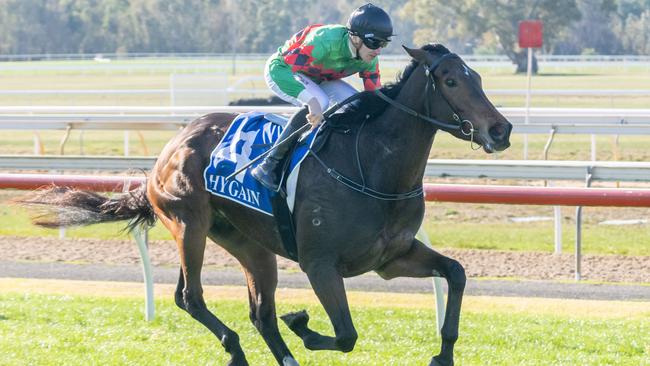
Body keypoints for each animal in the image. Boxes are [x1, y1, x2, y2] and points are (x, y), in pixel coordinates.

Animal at [22, 44, 512, 364]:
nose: (501, 130)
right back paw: (237, 349)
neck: (371, 166)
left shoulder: (392, 257)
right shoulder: (320, 263)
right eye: (451, 80)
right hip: (189, 224)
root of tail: (170, 147)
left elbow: (456, 272)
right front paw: (304, 324)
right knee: (191, 298)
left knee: (260, 313)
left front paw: (443, 354)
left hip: (250, 245)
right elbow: (346, 334)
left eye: (478, 78)